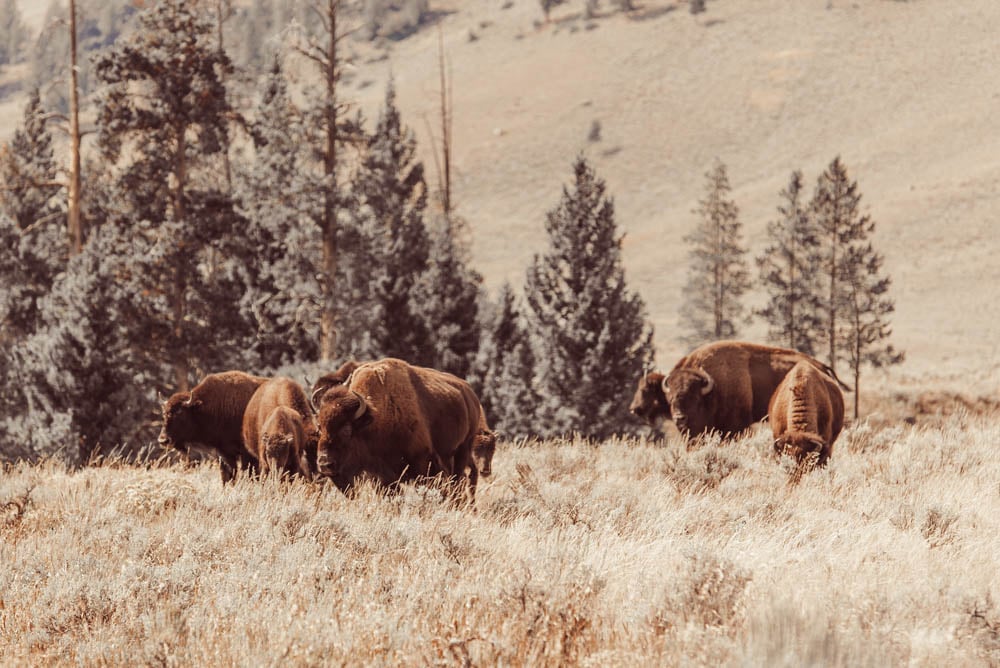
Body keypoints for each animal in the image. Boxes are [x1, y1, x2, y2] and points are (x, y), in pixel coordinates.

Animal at [628, 342, 848, 440]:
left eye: (693, 398)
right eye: (671, 397)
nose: (634, 409)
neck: (712, 389)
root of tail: (821, 366)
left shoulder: (735, 428)